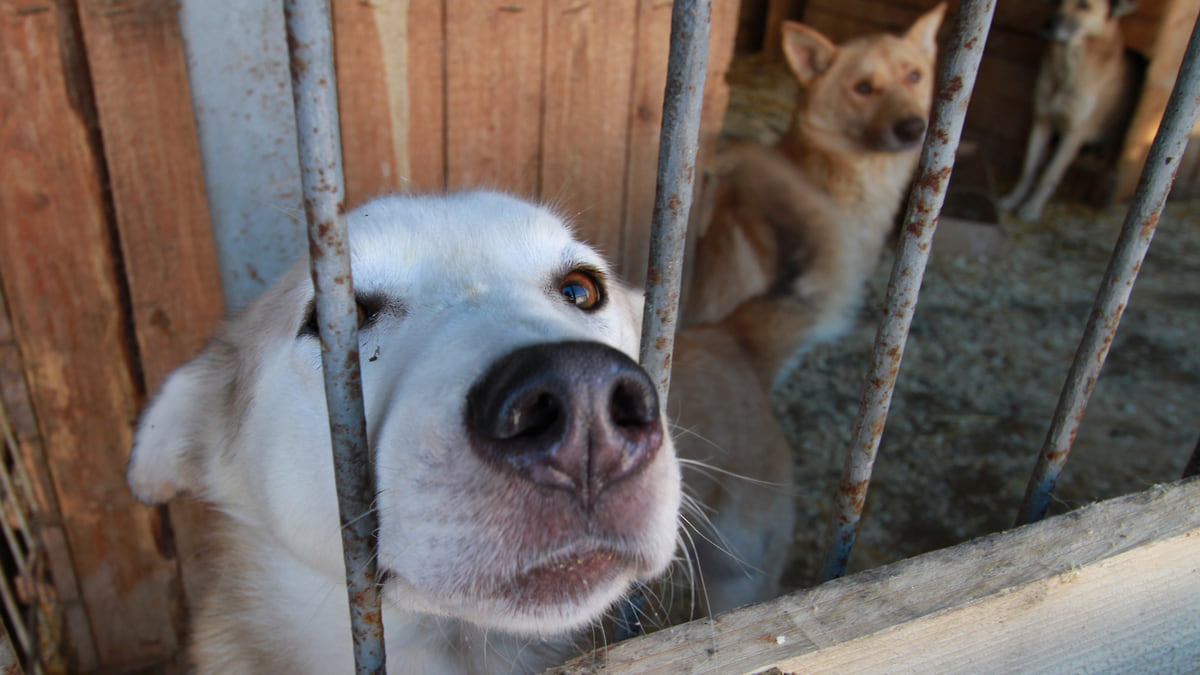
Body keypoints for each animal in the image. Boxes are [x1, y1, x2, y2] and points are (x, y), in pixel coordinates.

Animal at [993, 0, 1142, 220]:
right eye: (1055, 2)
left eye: (1084, 6)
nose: (1048, 25)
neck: (1065, 71)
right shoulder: (1041, 121)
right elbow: (1029, 167)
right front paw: (1013, 199)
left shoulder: (1074, 134)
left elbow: (1050, 174)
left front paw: (1032, 208)